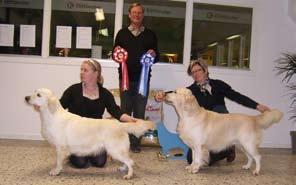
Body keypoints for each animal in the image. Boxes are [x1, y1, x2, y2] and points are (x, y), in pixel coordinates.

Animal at [25, 88, 155, 179]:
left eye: (38, 95)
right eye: (34, 92)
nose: (26, 97)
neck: (51, 115)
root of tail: (119, 124)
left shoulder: (60, 147)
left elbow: (58, 161)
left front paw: (56, 171)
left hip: (115, 150)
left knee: (130, 161)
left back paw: (129, 175)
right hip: (118, 151)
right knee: (127, 160)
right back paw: (123, 169)